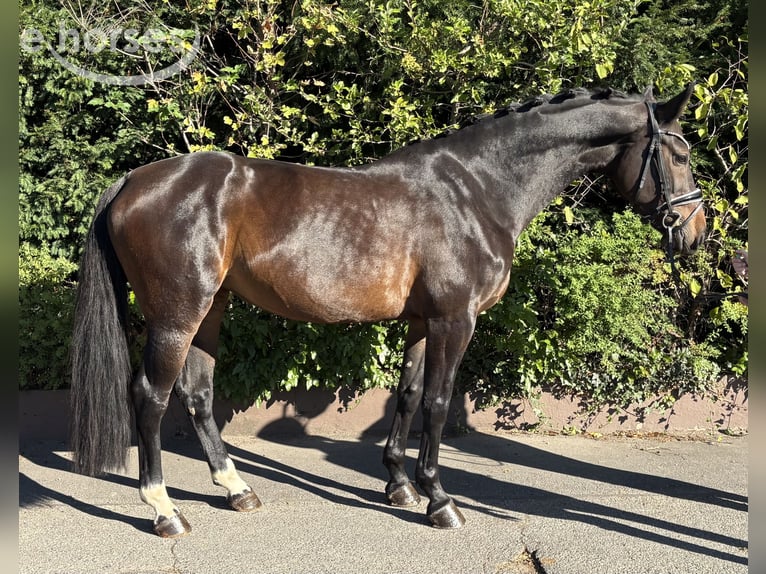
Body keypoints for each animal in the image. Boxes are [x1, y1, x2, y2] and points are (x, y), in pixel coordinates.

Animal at [69, 84, 706, 538]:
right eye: (678, 154)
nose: (695, 232)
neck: (477, 189)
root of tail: (132, 180)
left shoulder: (425, 321)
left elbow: (407, 394)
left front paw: (399, 487)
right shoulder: (456, 319)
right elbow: (440, 403)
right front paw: (440, 501)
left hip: (212, 309)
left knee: (198, 395)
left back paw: (236, 489)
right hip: (178, 314)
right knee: (150, 396)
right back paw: (164, 510)